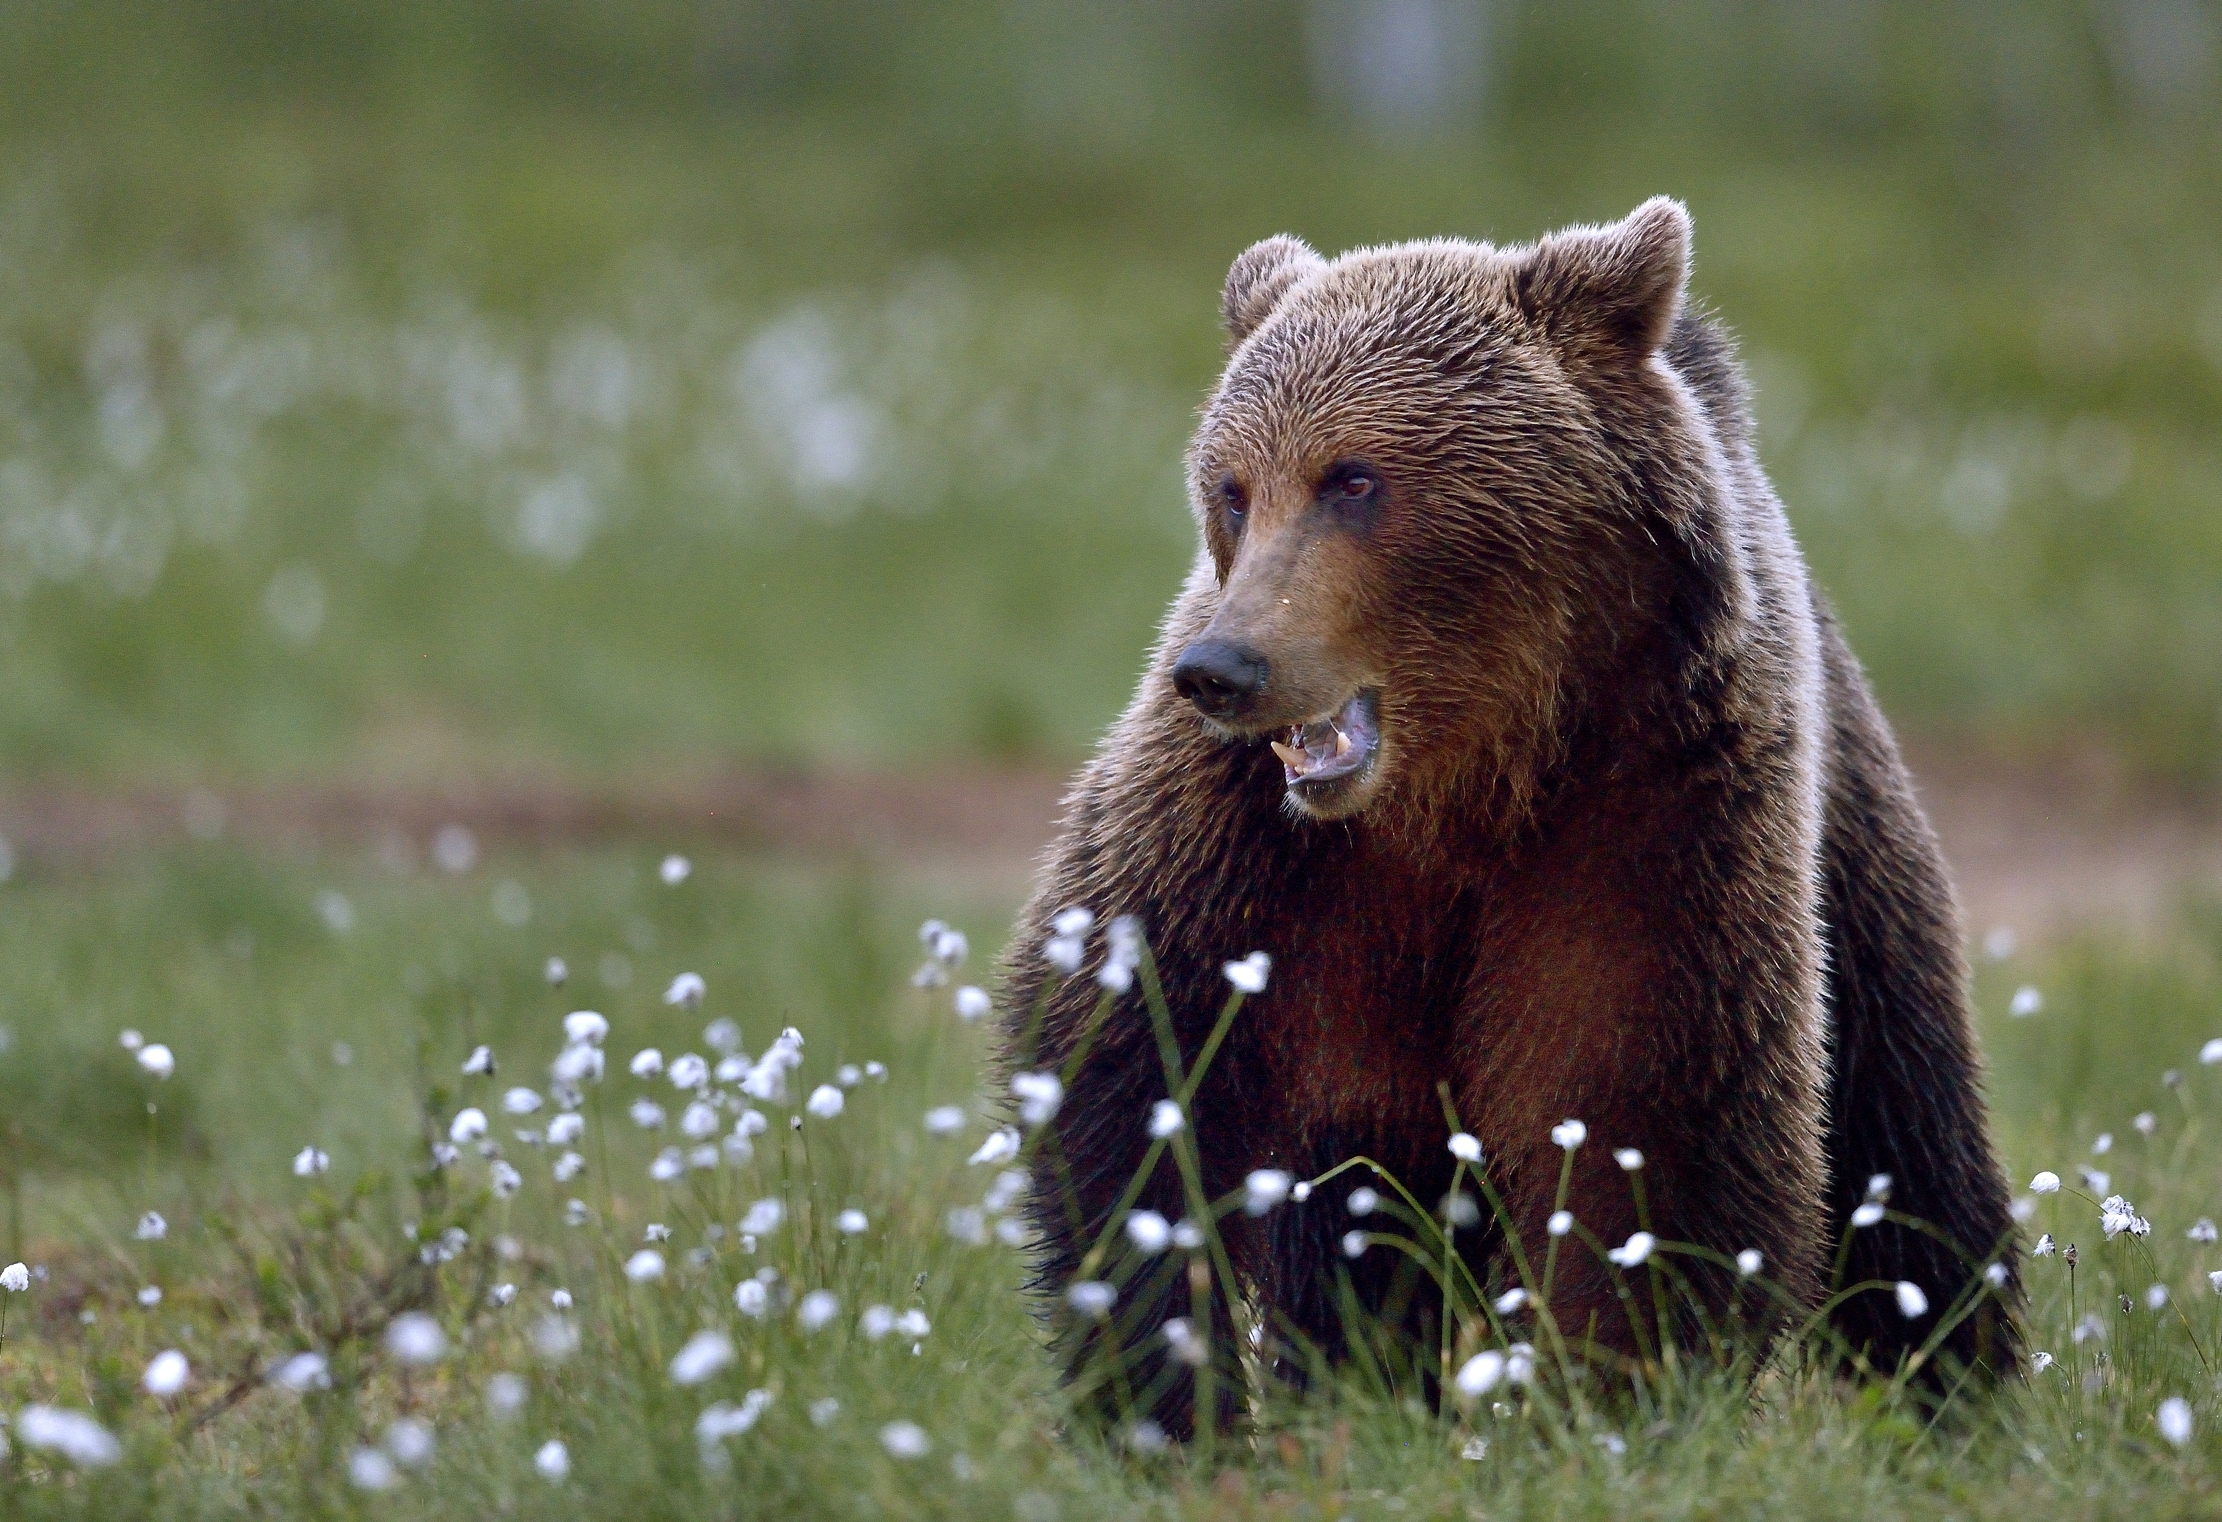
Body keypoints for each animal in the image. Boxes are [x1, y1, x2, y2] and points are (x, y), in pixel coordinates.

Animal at [996, 198, 2019, 1437]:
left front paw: (1602, 1404)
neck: (1454, 788)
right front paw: (1169, 1404)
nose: (1223, 668)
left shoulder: (1646, 821)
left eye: (1352, 478)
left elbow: (1644, 1127)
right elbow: (1125, 1076)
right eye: (1231, 486)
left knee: (1909, 1151)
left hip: (1853, 860)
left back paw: (1949, 1399)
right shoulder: (1234, 852)